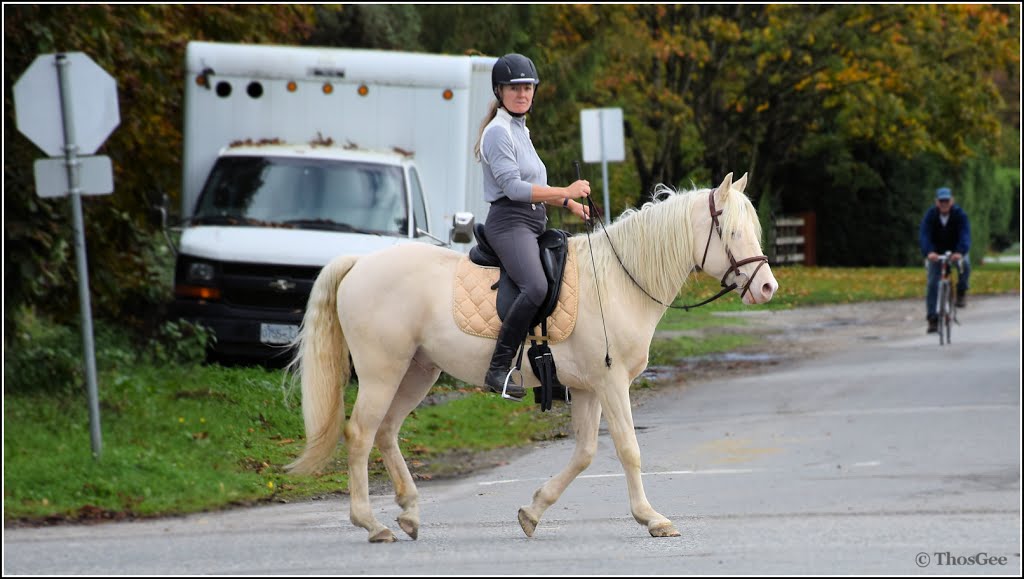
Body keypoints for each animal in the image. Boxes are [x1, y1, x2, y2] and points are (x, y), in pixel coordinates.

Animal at [284, 171, 778, 541]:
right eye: (732, 232)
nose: (768, 287)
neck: (620, 281)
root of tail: (360, 263)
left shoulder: (588, 389)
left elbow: (584, 454)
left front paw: (533, 511)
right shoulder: (611, 383)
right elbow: (628, 449)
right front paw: (651, 518)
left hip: (418, 371)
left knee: (386, 432)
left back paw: (408, 512)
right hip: (381, 372)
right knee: (361, 434)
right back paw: (371, 523)